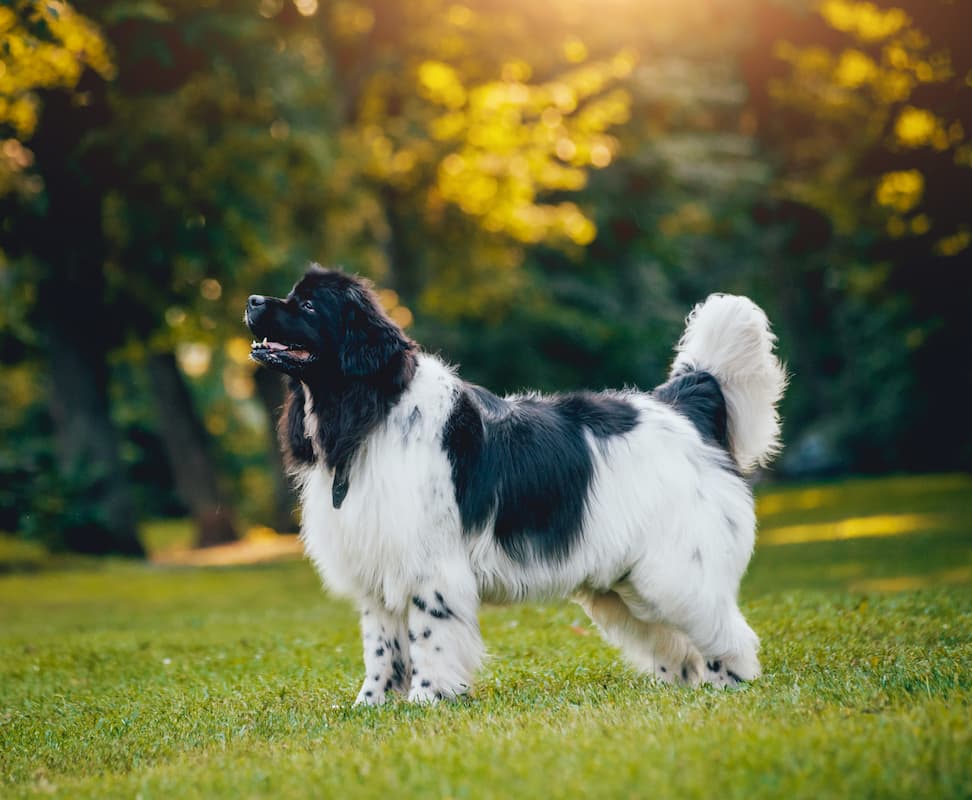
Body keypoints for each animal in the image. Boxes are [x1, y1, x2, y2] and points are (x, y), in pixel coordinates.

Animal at [247, 266, 784, 704]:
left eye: (308, 305)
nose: (252, 301)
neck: (372, 408)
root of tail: (680, 406)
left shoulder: (430, 566)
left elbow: (427, 637)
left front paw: (427, 698)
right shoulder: (378, 565)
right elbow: (381, 648)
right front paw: (371, 704)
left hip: (675, 571)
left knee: (726, 634)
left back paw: (729, 684)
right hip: (630, 584)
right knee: (678, 644)